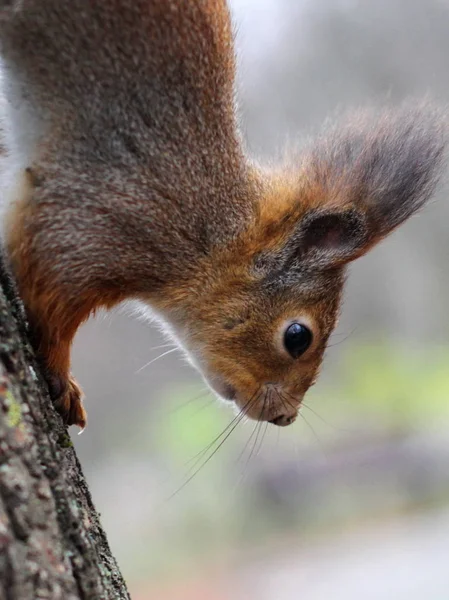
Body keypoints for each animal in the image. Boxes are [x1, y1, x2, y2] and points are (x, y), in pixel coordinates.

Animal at [0, 2, 444, 428]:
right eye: (297, 337)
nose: (286, 418)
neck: (212, 235)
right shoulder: (97, 218)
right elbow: (46, 296)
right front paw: (63, 380)